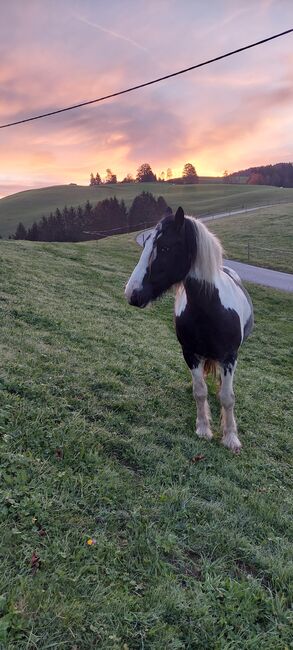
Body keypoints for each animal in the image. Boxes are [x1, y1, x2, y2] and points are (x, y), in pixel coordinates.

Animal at [124, 208, 252, 450]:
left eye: (165, 247)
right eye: (145, 245)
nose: (132, 294)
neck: (211, 310)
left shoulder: (229, 357)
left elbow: (228, 397)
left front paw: (231, 437)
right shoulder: (190, 354)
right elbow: (199, 391)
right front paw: (203, 428)